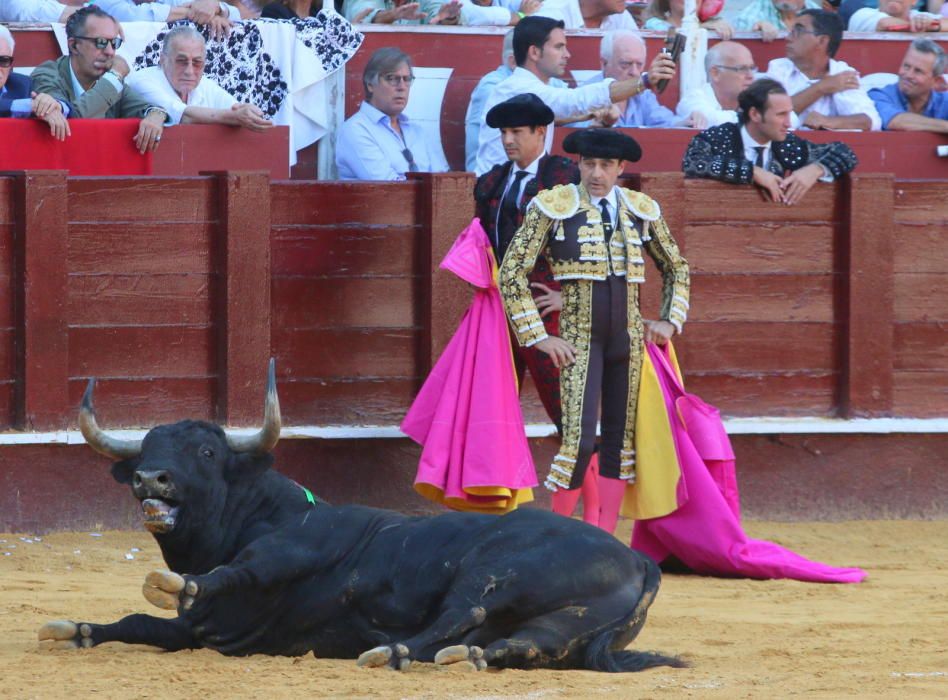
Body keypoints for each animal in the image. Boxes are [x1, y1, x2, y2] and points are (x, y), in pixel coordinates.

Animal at [40, 364, 680, 668]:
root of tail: (639, 561)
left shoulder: (290, 553)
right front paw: (75, 629)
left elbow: (237, 572)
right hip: (566, 625)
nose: (151, 478)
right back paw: (462, 658)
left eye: (206, 453)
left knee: (463, 613)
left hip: (497, 572)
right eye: (147, 449)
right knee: (521, 644)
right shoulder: (199, 631)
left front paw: (177, 583)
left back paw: (390, 652)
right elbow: (138, 624)